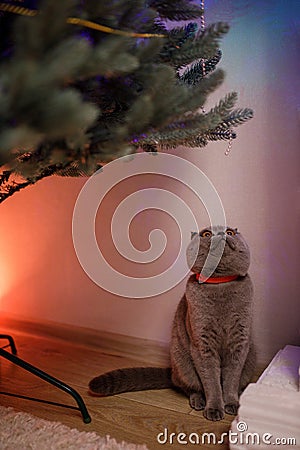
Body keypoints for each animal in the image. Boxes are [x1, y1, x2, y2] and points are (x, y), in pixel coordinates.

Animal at [89, 229, 255, 422]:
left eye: (230, 232)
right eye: (206, 234)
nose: (221, 233)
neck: (221, 286)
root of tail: (172, 372)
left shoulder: (239, 343)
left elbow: (231, 379)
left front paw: (232, 404)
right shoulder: (202, 346)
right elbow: (211, 382)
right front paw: (214, 408)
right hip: (182, 362)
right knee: (190, 387)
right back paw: (198, 401)